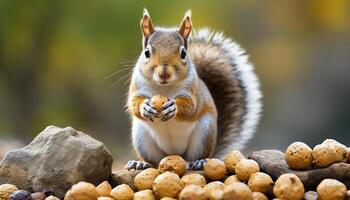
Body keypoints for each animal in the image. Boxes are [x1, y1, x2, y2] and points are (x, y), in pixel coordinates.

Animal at [124, 8, 262, 170]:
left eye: (183, 53)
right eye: (146, 52)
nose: (164, 73)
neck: (163, 88)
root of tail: (175, 154)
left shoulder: (193, 92)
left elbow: (191, 107)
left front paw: (173, 107)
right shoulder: (137, 87)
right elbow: (133, 103)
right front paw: (145, 106)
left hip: (204, 134)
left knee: (196, 157)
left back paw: (198, 162)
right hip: (142, 139)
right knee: (156, 163)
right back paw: (141, 163)